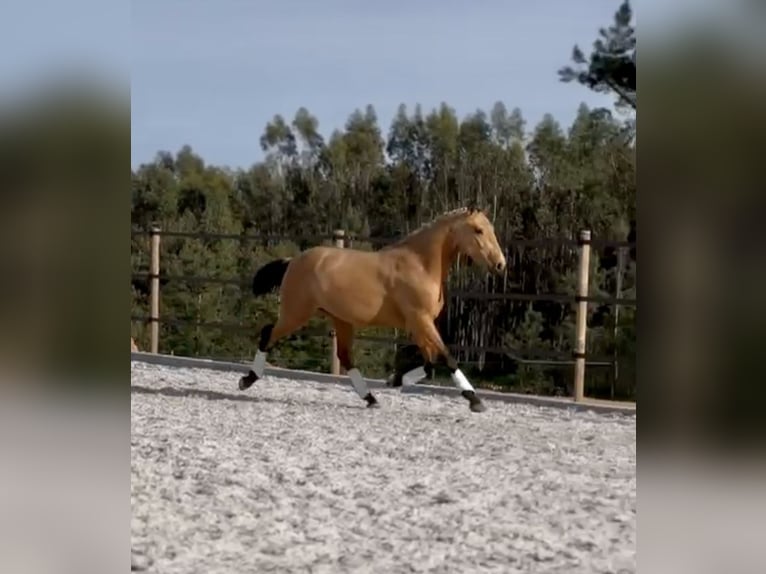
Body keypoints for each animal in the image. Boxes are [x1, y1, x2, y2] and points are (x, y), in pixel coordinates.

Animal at [237, 207, 508, 414]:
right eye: (478, 230)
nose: (500, 264)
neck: (420, 265)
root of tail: (292, 261)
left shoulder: (419, 324)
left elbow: (430, 362)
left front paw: (395, 380)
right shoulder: (420, 320)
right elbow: (446, 357)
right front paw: (475, 400)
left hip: (340, 319)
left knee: (345, 357)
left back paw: (370, 398)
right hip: (297, 313)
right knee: (267, 334)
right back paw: (247, 380)